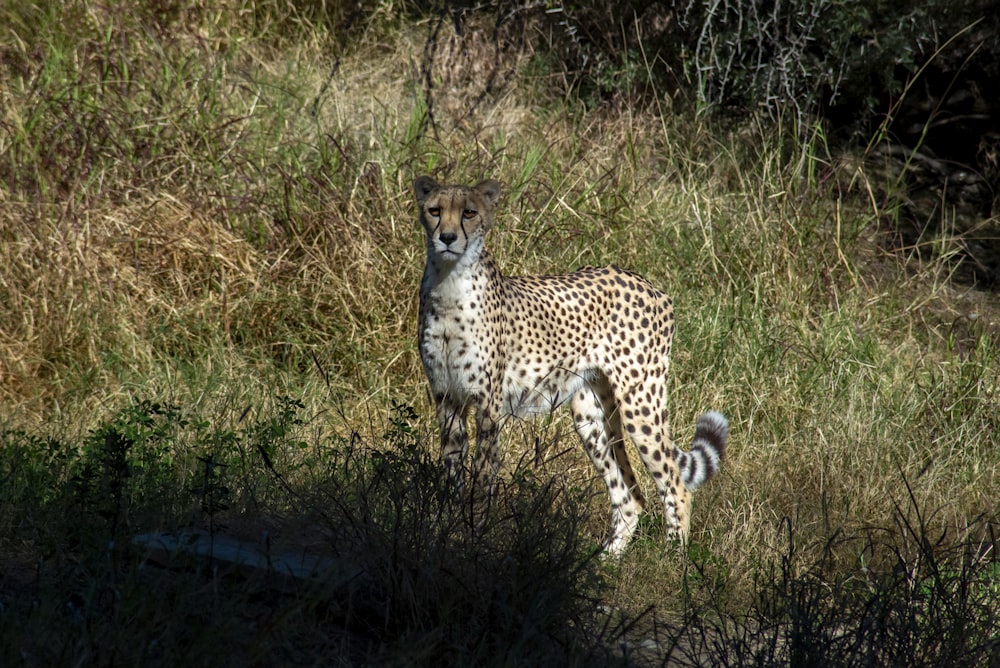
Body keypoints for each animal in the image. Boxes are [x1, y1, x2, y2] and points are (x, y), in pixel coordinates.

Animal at [410, 176, 732, 552]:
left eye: (469, 213)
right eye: (435, 211)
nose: (447, 238)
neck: (449, 284)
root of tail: (645, 281)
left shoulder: (488, 404)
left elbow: (482, 476)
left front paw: (474, 536)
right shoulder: (447, 399)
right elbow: (451, 476)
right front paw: (447, 534)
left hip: (639, 401)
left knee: (675, 484)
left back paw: (673, 556)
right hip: (591, 413)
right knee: (628, 495)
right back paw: (607, 558)